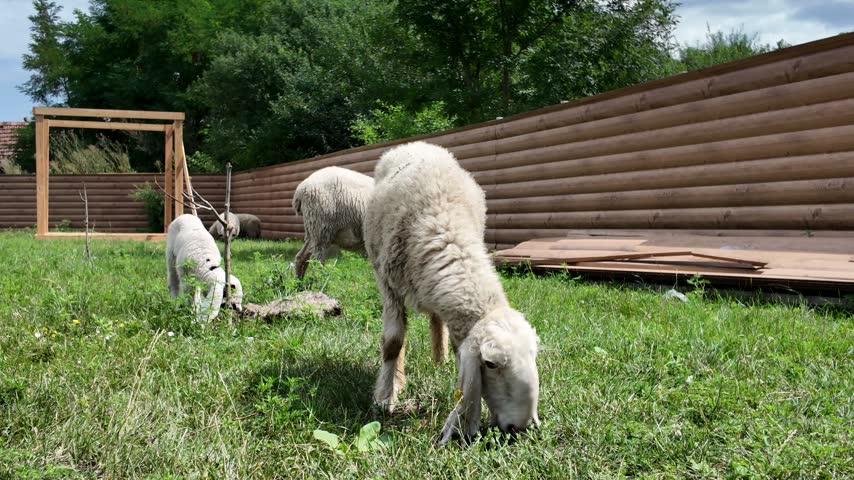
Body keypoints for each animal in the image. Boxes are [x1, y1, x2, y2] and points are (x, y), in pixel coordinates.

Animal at [364, 141, 540, 445]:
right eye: (490, 364)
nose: (520, 427)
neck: (444, 225)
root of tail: (418, 143)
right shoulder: (389, 286)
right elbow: (393, 343)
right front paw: (385, 398)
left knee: (437, 320)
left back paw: (439, 359)